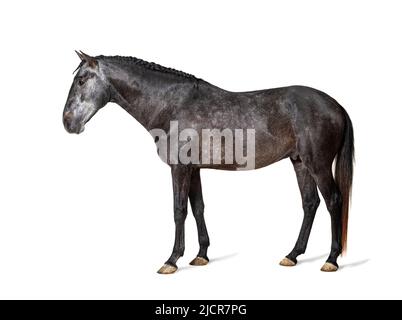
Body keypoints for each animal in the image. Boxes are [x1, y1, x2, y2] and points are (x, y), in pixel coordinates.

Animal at [61, 50, 354, 272]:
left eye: (82, 80)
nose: (67, 122)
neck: (171, 106)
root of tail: (337, 106)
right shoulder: (194, 169)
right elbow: (198, 208)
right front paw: (201, 255)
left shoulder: (179, 169)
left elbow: (179, 210)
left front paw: (171, 260)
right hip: (300, 163)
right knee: (310, 203)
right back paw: (292, 255)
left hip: (318, 165)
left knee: (333, 201)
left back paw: (331, 259)